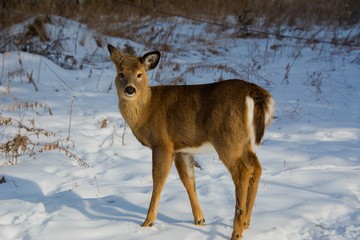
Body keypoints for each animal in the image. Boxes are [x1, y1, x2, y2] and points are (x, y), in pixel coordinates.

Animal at [108, 43, 274, 240]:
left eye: (140, 74)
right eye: (121, 73)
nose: (130, 89)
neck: (146, 109)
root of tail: (253, 92)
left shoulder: (162, 143)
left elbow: (158, 179)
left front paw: (148, 222)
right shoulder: (182, 149)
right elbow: (188, 180)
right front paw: (200, 219)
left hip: (227, 137)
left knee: (242, 171)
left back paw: (236, 232)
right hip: (244, 141)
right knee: (256, 167)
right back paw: (246, 223)